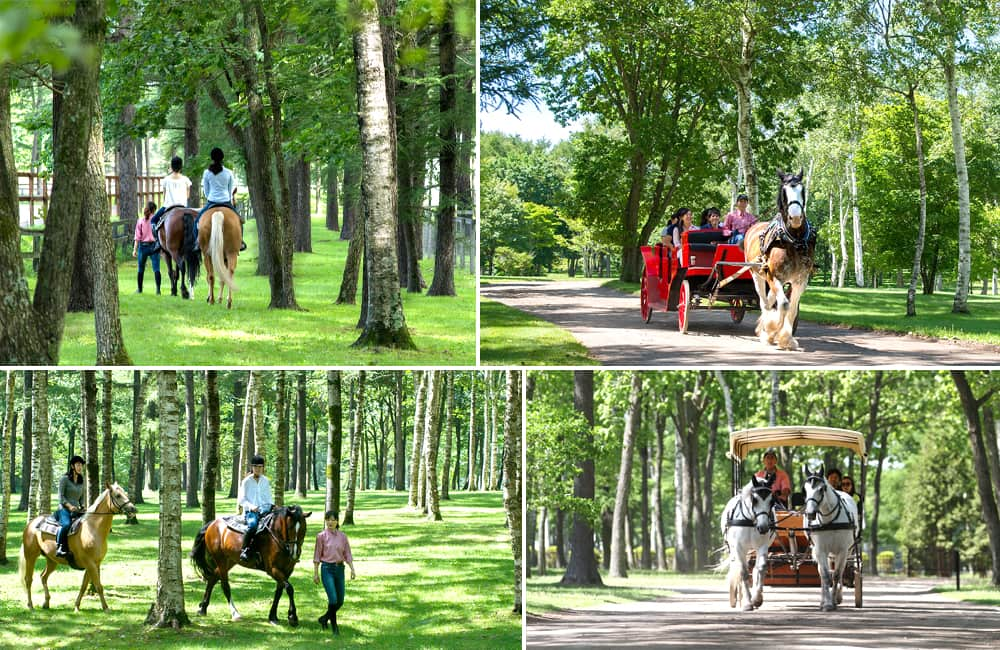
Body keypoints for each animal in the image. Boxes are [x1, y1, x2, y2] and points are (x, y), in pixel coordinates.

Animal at [20, 480, 138, 608]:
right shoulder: (90, 563)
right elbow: (99, 586)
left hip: (51, 560)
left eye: (125, 493)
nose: (133, 509)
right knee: (28, 579)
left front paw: (77, 606)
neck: (92, 528)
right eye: (118, 495)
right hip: (30, 556)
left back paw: (46, 602)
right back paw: (30, 605)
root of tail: (31, 524)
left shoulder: (95, 563)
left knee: (43, 577)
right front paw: (106, 608)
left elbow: (84, 585)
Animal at [724, 474, 776, 612]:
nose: (763, 527)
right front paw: (747, 603)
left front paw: (756, 599)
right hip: (734, 550)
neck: (751, 522)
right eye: (754, 499)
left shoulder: (762, 546)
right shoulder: (738, 548)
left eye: (772, 501)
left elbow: (760, 569)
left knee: (756, 569)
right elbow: (743, 572)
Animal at [748, 167, 816, 350]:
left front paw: (787, 338)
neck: (794, 241)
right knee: (765, 302)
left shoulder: (801, 280)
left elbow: (791, 308)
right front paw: (771, 331)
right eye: (784, 192)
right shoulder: (774, 276)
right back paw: (766, 330)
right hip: (757, 275)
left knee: (772, 299)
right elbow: (784, 304)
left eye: (802, 190)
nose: (796, 218)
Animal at [800, 466, 856, 608]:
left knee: (840, 571)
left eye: (821, 489)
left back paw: (837, 597)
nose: (810, 513)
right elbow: (825, 575)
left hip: (847, 551)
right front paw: (827, 603)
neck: (830, 520)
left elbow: (836, 575)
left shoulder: (843, 550)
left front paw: (834, 600)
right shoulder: (820, 550)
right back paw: (823, 600)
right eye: (805, 490)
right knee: (822, 572)